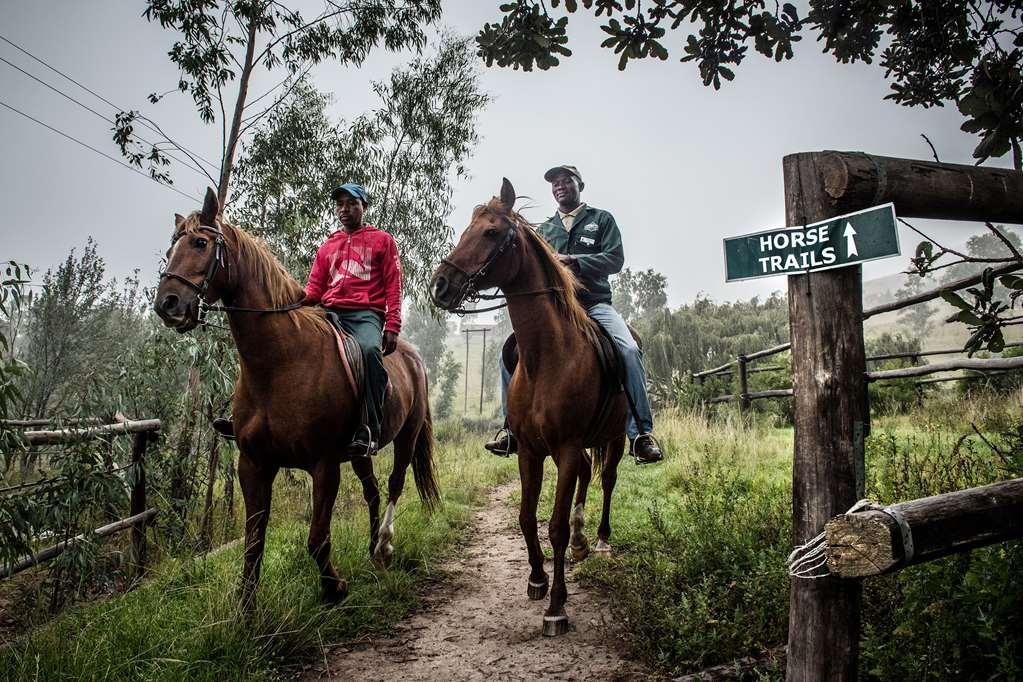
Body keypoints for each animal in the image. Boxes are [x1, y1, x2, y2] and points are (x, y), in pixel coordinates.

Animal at [153, 187, 437, 609]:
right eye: (173, 246)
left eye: (200, 243)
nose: (168, 304)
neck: (280, 363)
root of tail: (411, 354)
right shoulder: (253, 464)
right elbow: (253, 543)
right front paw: (246, 610)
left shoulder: (324, 465)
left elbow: (317, 539)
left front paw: (334, 588)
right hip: (361, 453)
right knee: (371, 492)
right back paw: (373, 552)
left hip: (407, 436)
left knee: (394, 485)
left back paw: (384, 547)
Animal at [427, 178, 626, 638]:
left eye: (491, 233)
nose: (441, 286)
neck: (548, 357)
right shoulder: (532, 451)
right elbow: (525, 516)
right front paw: (537, 578)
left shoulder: (566, 449)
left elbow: (553, 526)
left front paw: (557, 606)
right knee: (588, 478)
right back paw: (582, 541)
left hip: (617, 437)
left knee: (607, 480)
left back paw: (600, 540)